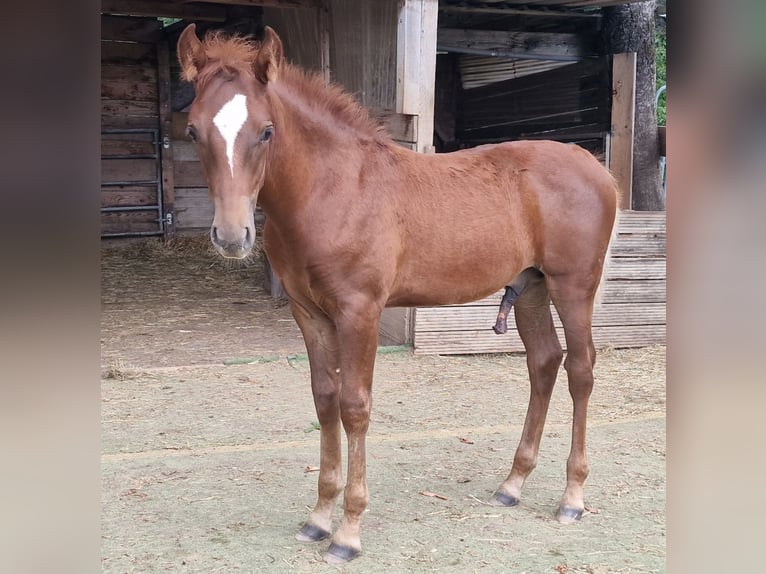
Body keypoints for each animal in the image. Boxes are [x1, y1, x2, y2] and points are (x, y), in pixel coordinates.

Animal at [177, 24, 618, 564]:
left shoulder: (360, 311)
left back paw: (572, 497)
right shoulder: (309, 313)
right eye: (194, 130)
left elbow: (354, 407)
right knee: (543, 362)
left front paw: (347, 533)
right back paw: (512, 484)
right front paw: (318, 518)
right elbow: (324, 400)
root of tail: (593, 165)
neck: (335, 190)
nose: (231, 235)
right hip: (531, 286)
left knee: (581, 370)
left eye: (266, 130)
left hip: (573, 285)